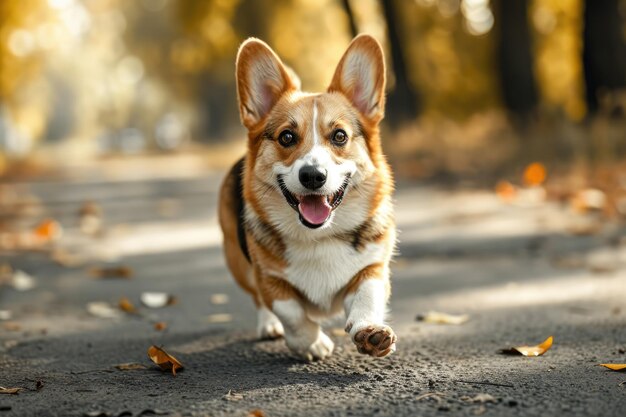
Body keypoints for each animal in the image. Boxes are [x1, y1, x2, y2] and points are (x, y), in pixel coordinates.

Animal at [218, 35, 394, 360]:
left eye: (339, 136)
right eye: (286, 137)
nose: (313, 176)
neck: (319, 237)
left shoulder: (373, 268)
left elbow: (368, 295)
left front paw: (370, 331)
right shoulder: (269, 279)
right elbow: (292, 313)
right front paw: (312, 343)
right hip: (238, 262)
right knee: (257, 299)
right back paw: (269, 325)